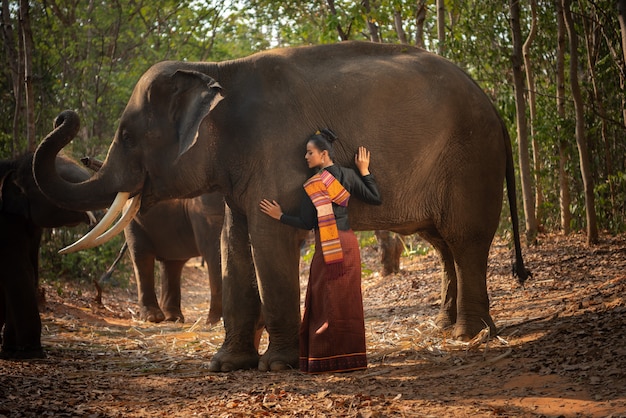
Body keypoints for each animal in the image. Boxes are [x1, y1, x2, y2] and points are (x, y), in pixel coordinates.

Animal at [0, 151, 92, 360]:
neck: (14, 165)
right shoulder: (4, 222)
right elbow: (19, 270)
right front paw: (32, 352)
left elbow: (31, 269)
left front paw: (11, 350)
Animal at [81, 157, 224, 324]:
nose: (85, 160)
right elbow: (214, 252)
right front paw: (215, 323)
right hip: (133, 219)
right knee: (143, 257)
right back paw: (154, 318)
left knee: (172, 263)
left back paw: (173, 318)